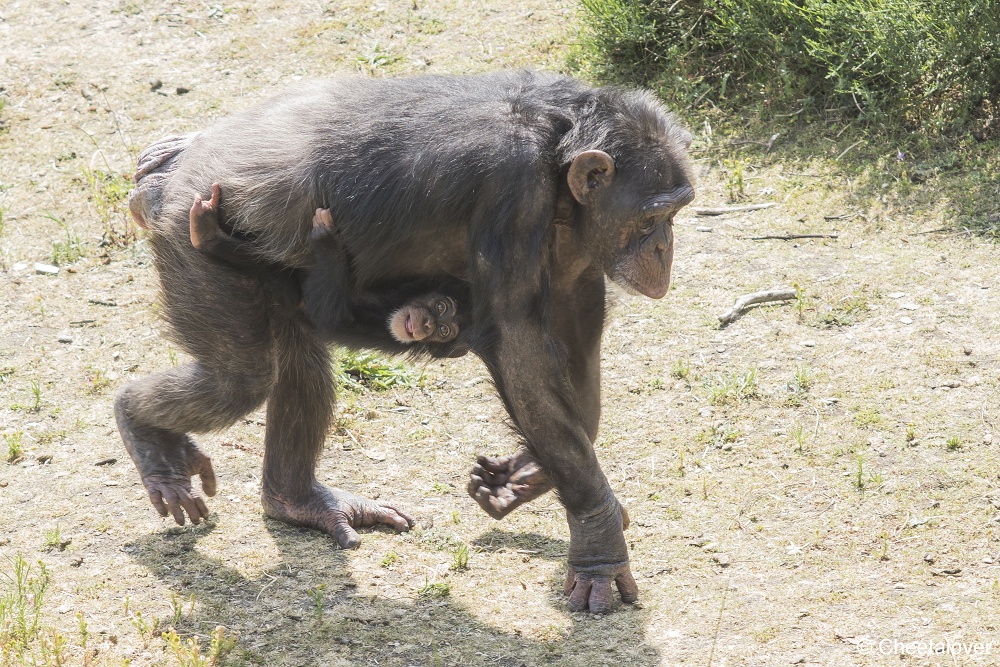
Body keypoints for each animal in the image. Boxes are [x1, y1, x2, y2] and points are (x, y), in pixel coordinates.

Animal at [188, 183, 464, 350]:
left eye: (444, 331)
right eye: (441, 307)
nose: (428, 325)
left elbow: (330, 316)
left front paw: (327, 242)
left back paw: (208, 236)